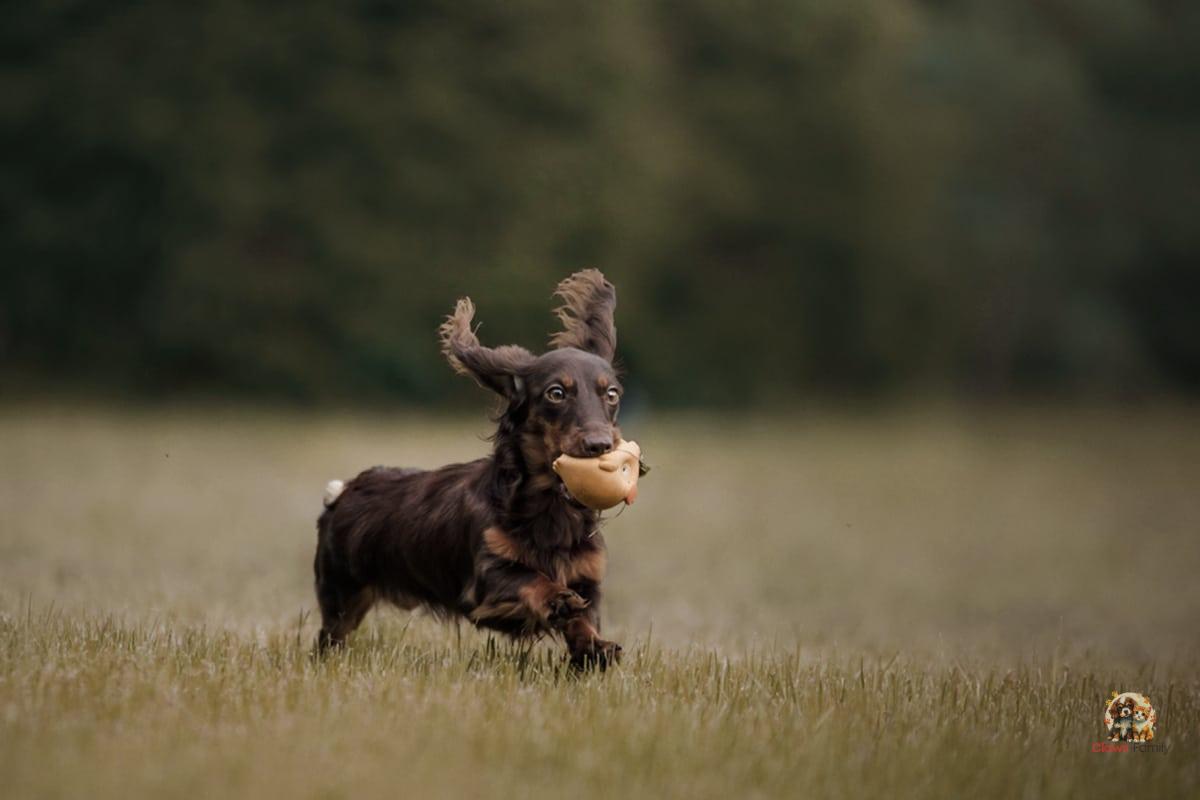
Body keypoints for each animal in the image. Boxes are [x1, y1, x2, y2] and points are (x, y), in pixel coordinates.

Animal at [309, 271, 628, 671]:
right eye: (556, 393)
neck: (551, 512)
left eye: (612, 394)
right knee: (329, 636)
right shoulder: (486, 583)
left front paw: (595, 646)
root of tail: (342, 491)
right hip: (341, 593)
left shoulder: (588, 577)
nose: (601, 445)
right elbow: (530, 580)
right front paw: (557, 599)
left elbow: (584, 618)